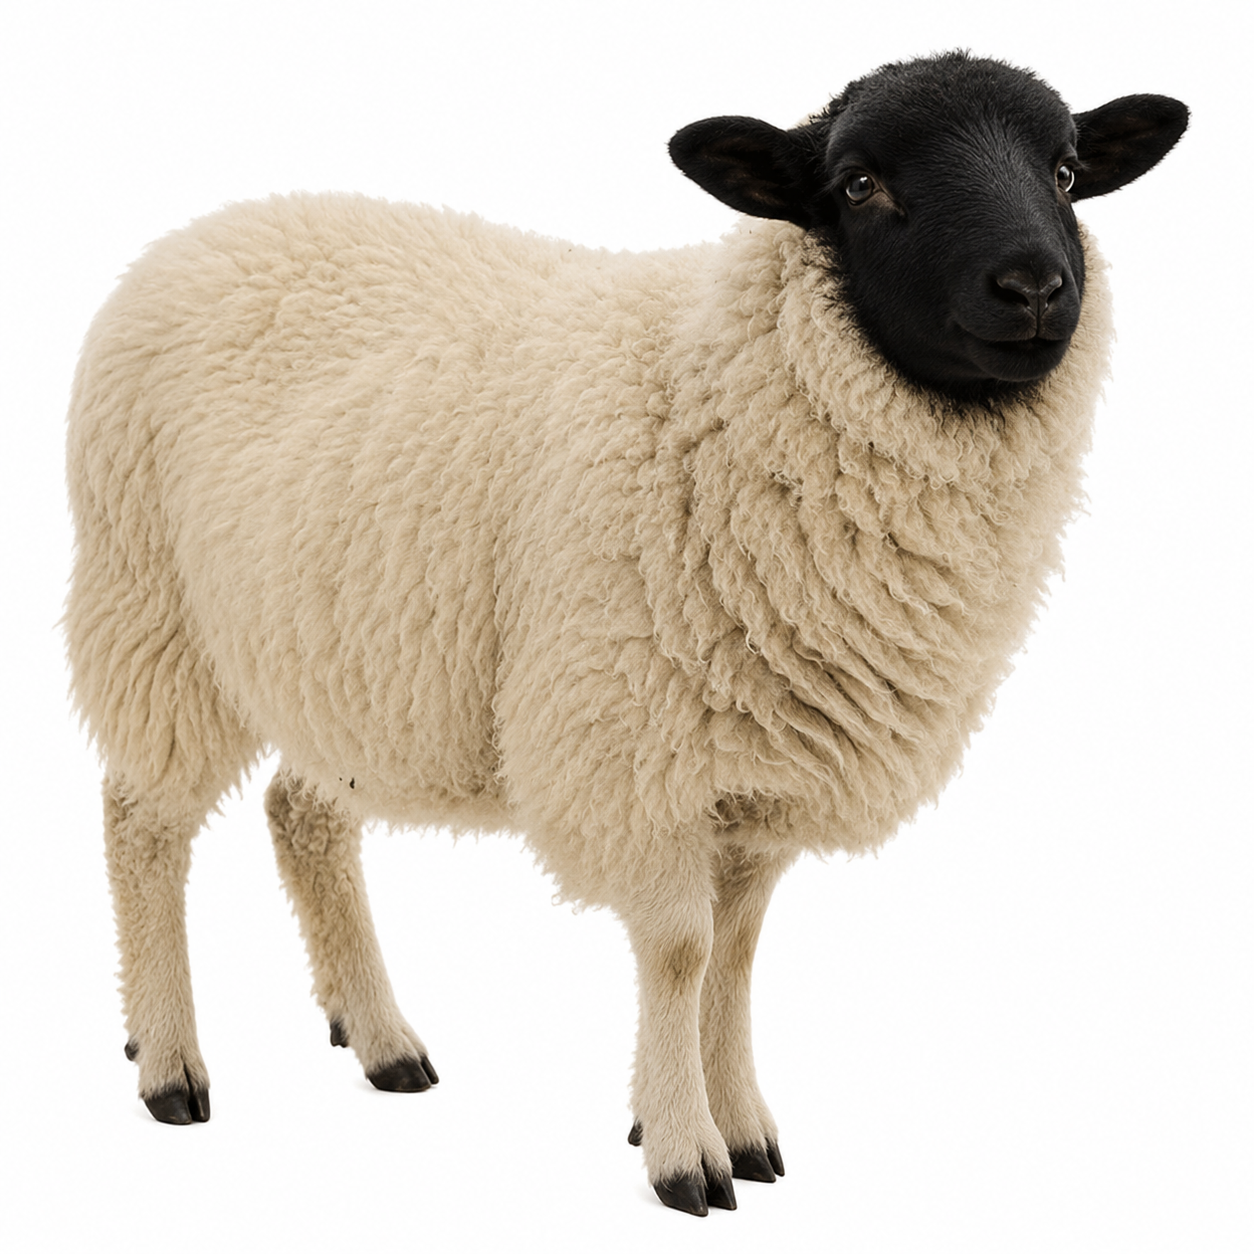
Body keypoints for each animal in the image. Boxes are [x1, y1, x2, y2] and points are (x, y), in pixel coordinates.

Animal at [65, 51, 1187, 1215]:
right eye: (859, 183)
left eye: (1066, 171)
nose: (1034, 289)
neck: (722, 398)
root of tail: (209, 229)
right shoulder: (636, 750)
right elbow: (683, 951)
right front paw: (684, 1151)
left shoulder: (760, 768)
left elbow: (737, 955)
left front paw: (742, 1128)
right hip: (151, 610)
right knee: (142, 824)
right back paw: (168, 1063)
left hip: (343, 654)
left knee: (304, 815)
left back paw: (381, 1040)